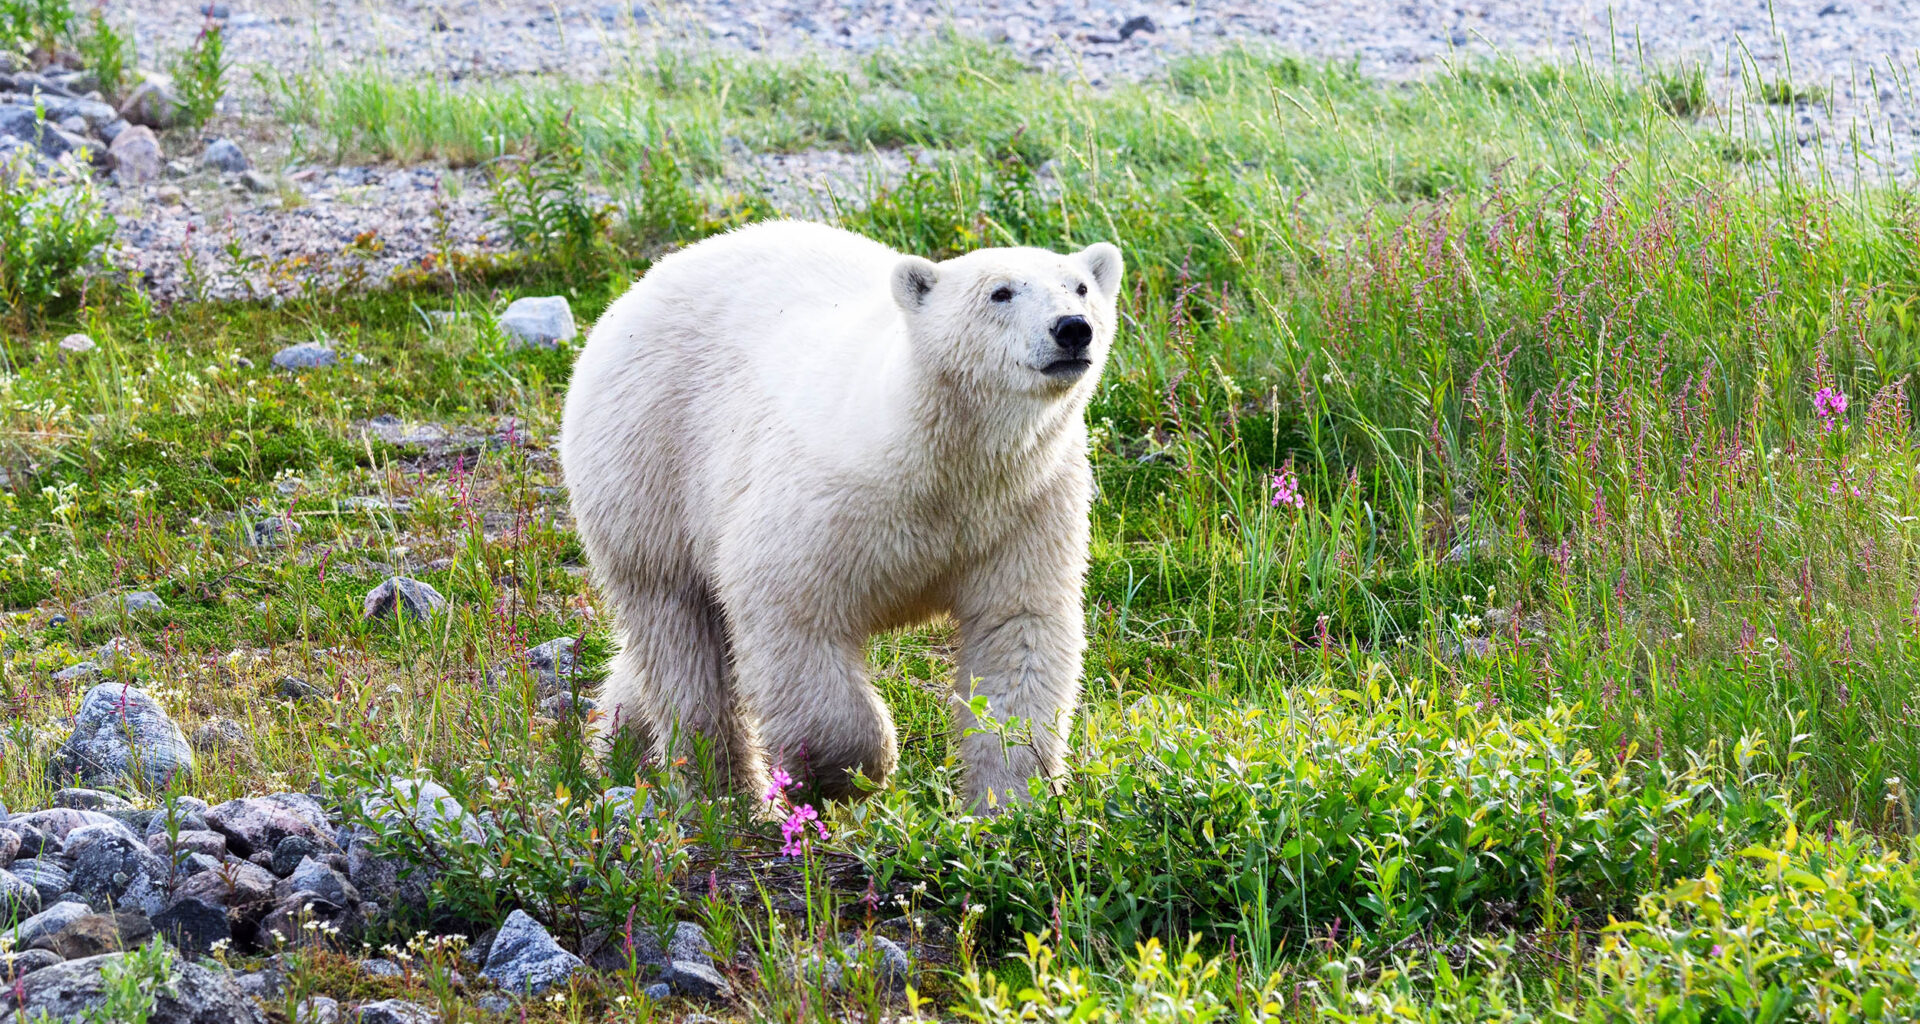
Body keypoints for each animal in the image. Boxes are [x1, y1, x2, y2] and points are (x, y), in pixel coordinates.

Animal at [560, 219, 1123, 806]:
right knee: (679, 631)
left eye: (1081, 287)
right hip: (649, 462)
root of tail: (641, 284)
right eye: (1001, 292)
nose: (1072, 329)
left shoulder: (1022, 507)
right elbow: (791, 614)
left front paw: (1010, 801)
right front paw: (848, 772)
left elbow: (1018, 631)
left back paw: (621, 742)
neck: (937, 463)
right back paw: (719, 784)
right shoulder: (826, 505)